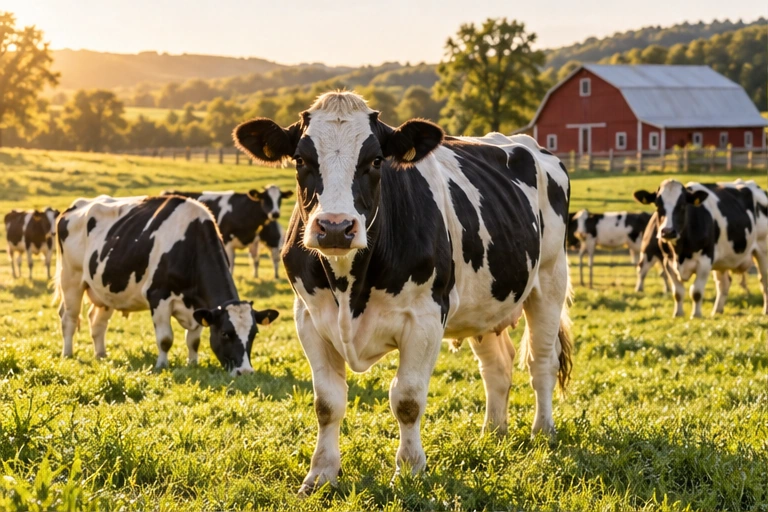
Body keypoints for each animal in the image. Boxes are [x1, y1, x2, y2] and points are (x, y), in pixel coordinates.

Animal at [54, 195, 279, 375]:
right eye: (225, 333)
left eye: (254, 333)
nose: (245, 372)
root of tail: (76, 205)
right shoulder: (158, 296)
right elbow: (165, 339)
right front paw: (161, 365)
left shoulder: (199, 306)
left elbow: (193, 340)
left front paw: (193, 364)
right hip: (71, 279)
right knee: (69, 318)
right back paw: (68, 354)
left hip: (105, 289)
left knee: (97, 322)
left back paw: (101, 354)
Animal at [161, 186, 292, 276]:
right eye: (266, 198)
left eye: (279, 199)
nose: (275, 214)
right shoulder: (227, 240)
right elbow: (232, 262)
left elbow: (257, 258)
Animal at [232, 91, 572, 494]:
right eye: (300, 159)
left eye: (376, 160)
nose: (335, 227)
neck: (350, 285)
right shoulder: (309, 318)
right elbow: (327, 402)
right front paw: (320, 475)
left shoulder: (425, 318)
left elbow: (407, 399)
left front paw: (409, 469)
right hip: (486, 302)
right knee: (497, 368)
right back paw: (492, 433)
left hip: (550, 280)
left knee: (542, 362)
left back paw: (543, 431)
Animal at [634, 179, 768, 317]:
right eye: (657, 205)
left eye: (682, 205)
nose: (668, 231)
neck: (679, 253)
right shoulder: (668, 262)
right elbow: (678, 292)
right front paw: (678, 313)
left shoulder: (705, 261)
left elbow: (696, 292)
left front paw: (696, 315)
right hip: (722, 259)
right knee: (723, 283)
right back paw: (717, 311)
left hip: (763, 249)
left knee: (764, 280)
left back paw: (765, 310)